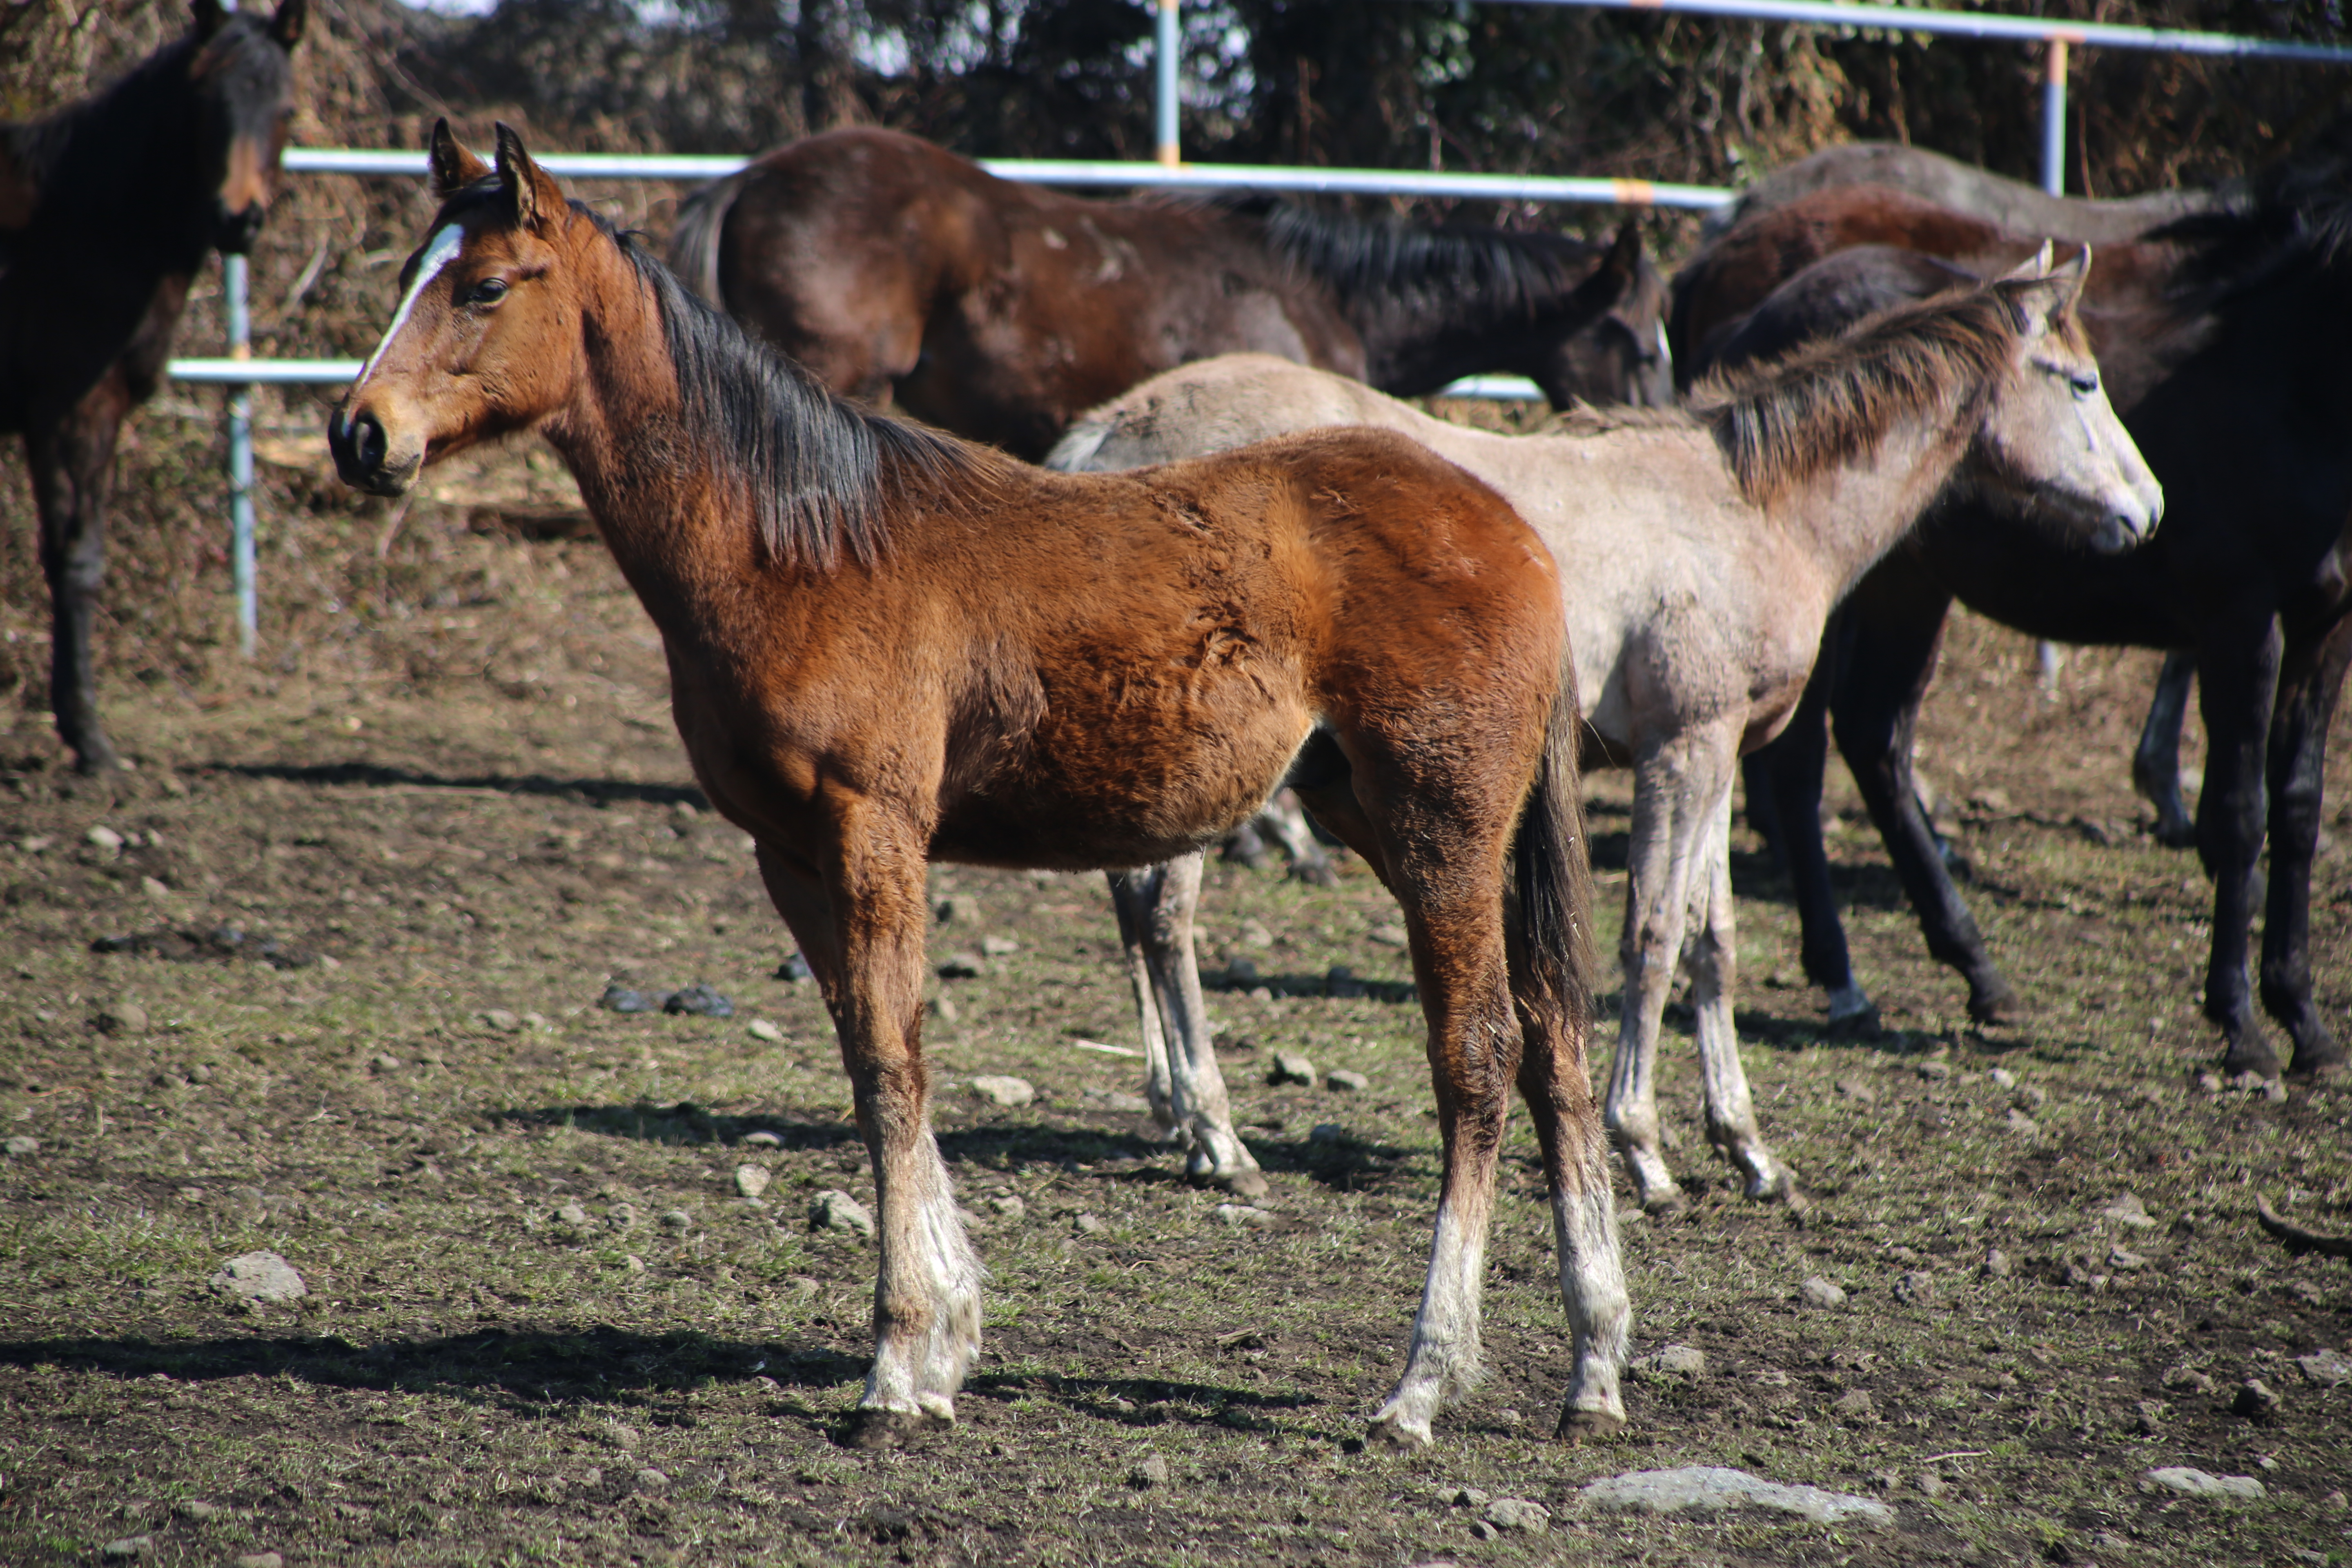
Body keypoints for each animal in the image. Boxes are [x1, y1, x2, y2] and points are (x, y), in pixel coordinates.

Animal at [1, 0, 308, 771]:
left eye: (286, 108)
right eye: (206, 104)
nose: (238, 218)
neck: (84, 217)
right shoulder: (74, 412)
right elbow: (77, 561)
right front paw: (88, 736)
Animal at [1058, 257, 2154, 1213]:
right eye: (2082, 381)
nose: (2146, 509)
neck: (1745, 512)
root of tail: (1110, 436)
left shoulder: (1722, 754)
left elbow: (1713, 939)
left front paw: (1749, 1148)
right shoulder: (1683, 748)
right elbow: (1653, 935)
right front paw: (1643, 1148)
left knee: (1136, 912)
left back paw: (1176, 1114)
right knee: (1165, 919)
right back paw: (1216, 1133)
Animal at [1675, 172, 2352, 1081]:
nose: (2148, 507)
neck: (2289, 389)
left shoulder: (2324, 628)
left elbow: (2301, 810)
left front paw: (2304, 1019)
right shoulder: (2240, 621)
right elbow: (2243, 813)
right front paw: (2241, 1024)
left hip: (1907, 588)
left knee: (1872, 739)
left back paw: (1974, 968)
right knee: (1807, 759)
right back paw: (1847, 973)